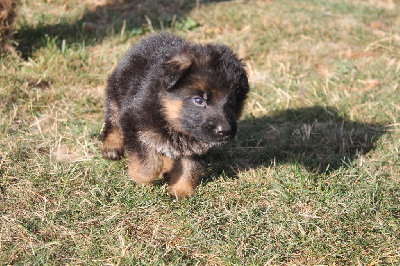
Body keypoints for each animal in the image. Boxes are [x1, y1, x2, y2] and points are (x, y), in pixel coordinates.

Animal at [101, 32, 248, 197]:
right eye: (198, 100)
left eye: (232, 103)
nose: (225, 131)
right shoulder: (132, 123)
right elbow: (149, 165)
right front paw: (138, 175)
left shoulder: (198, 146)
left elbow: (190, 169)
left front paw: (180, 190)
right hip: (116, 96)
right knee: (112, 123)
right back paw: (111, 148)